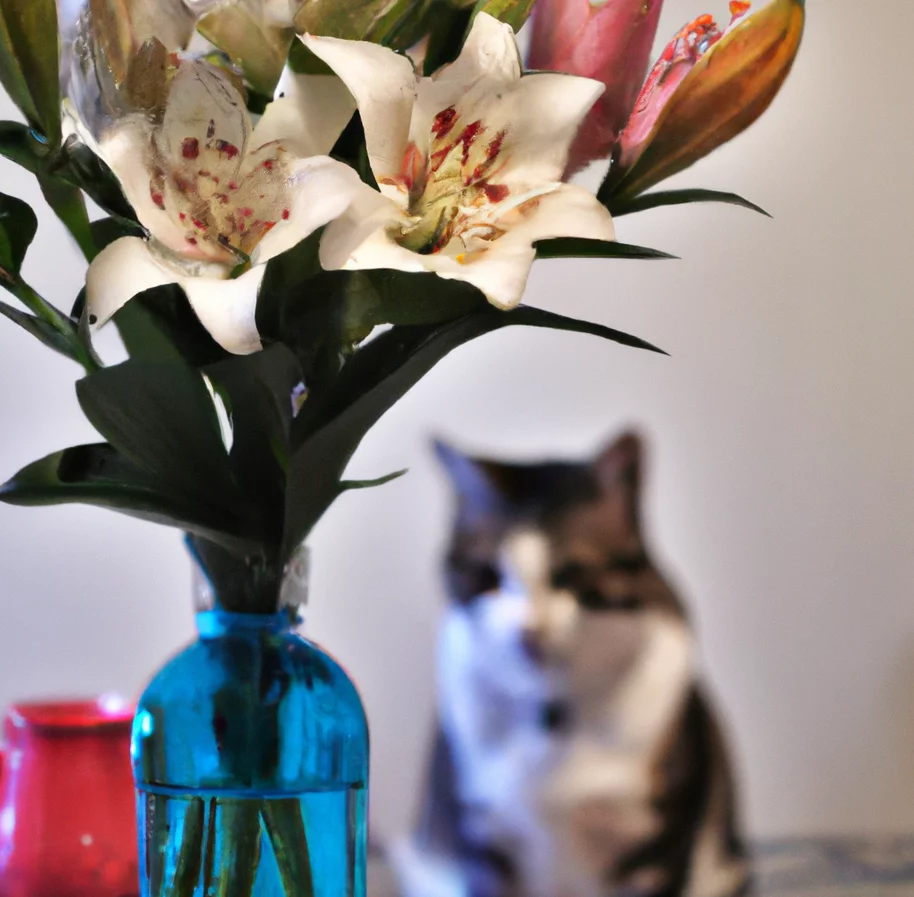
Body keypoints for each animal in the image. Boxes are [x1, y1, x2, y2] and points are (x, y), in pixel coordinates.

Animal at [392, 430, 748, 896]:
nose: (529, 633)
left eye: (569, 575)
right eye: (488, 578)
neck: (554, 713)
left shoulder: (660, 845)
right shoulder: (485, 843)